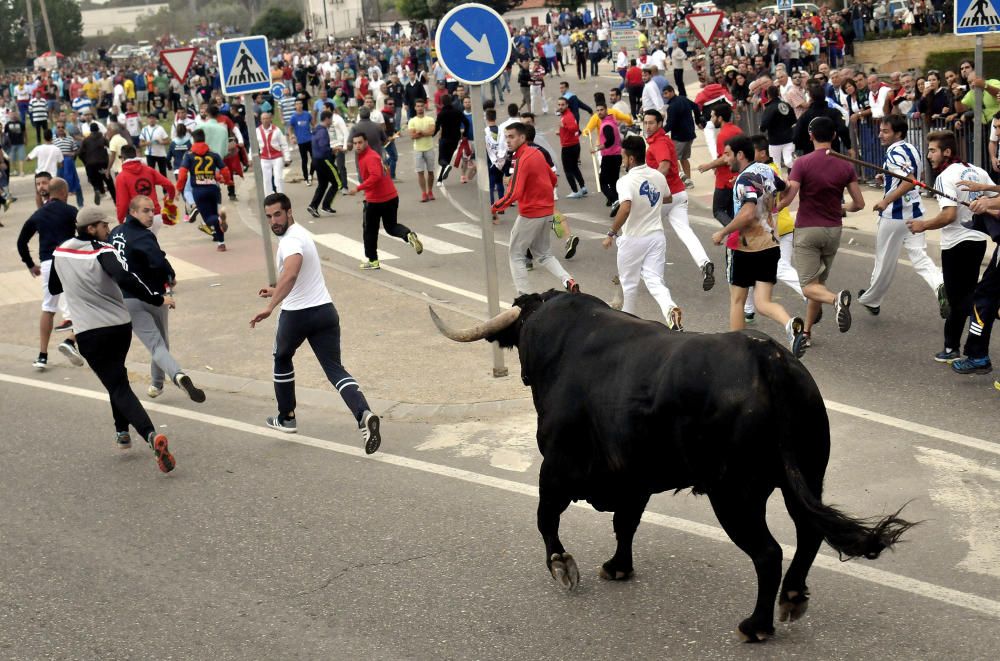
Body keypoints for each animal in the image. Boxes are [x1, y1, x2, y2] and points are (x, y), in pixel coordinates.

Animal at [430, 292, 916, 640]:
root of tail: (769, 361)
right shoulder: (634, 481)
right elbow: (625, 525)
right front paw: (618, 567)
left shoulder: (556, 468)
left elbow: (546, 519)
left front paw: (563, 566)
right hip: (808, 476)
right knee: (808, 533)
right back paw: (792, 598)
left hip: (735, 495)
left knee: (768, 552)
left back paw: (756, 626)